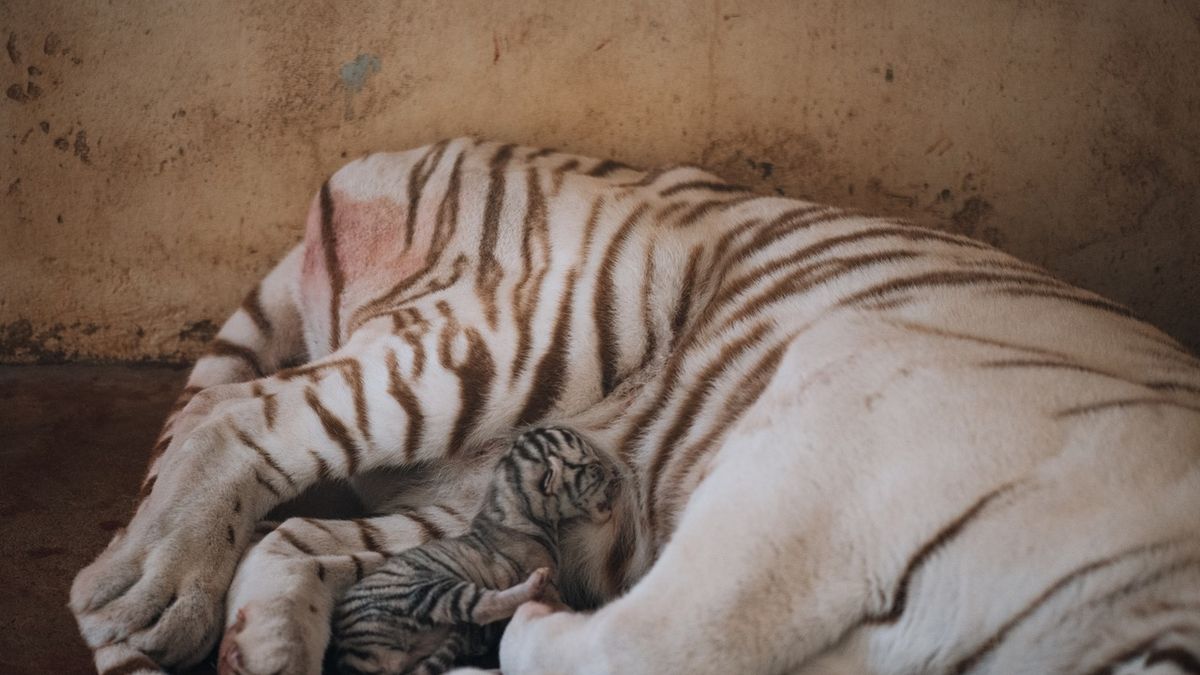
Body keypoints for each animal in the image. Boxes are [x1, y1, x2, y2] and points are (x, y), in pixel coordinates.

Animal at [70, 138, 1195, 672]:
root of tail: (378, 158)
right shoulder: (853, 412)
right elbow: (673, 638)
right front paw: (536, 637)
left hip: (475, 499)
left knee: (289, 542)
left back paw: (257, 650)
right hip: (519, 335)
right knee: (238, 419)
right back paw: (153, 593)